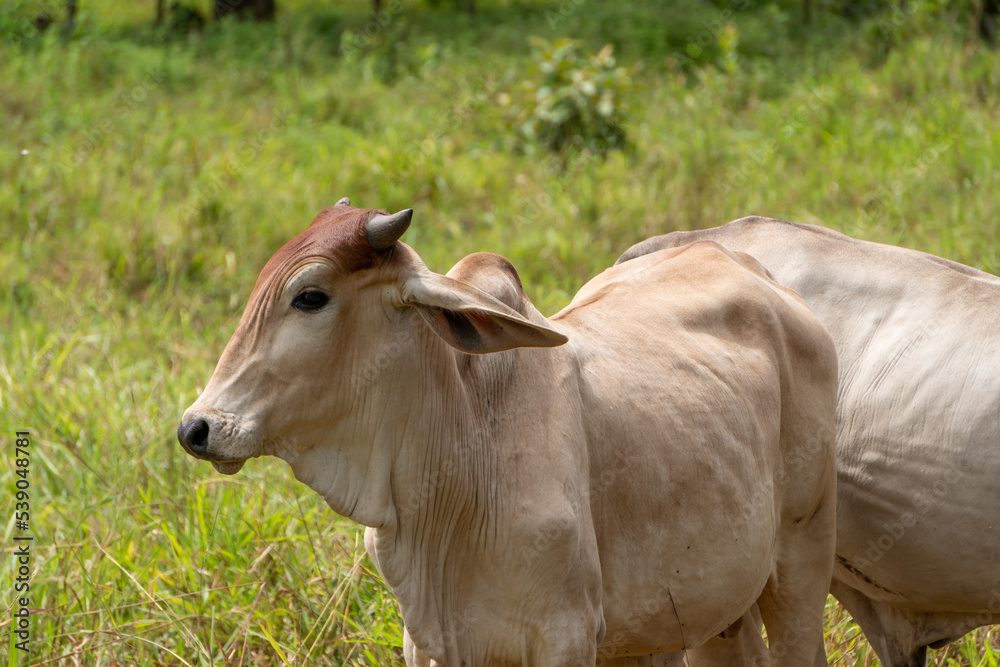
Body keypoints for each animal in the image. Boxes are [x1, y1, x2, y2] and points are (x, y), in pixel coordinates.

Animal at [178, 204, 836, 667]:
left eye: (310, 296)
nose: (197, 428)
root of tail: (759, 275)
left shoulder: (566, 637)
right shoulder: (429, 642)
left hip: (801, 565)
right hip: (701, 615)